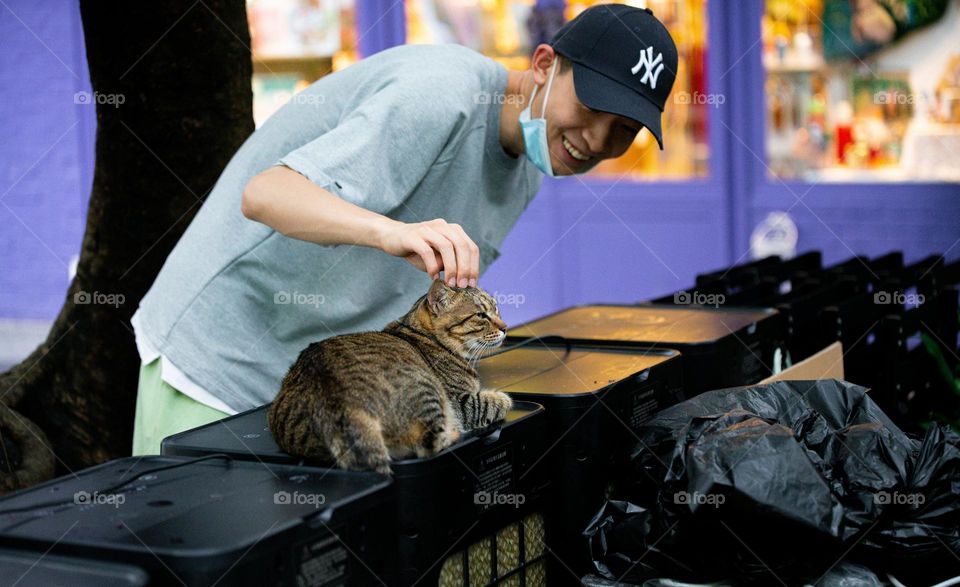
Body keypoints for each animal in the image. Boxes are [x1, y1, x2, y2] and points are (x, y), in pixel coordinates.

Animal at [266, 278, 512, 476]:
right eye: (481, 315)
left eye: (497, 309)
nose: (506, 327)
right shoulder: (459, 402)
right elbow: (491, 402)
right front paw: (503, 399)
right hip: (426, 390)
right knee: (430, 443)